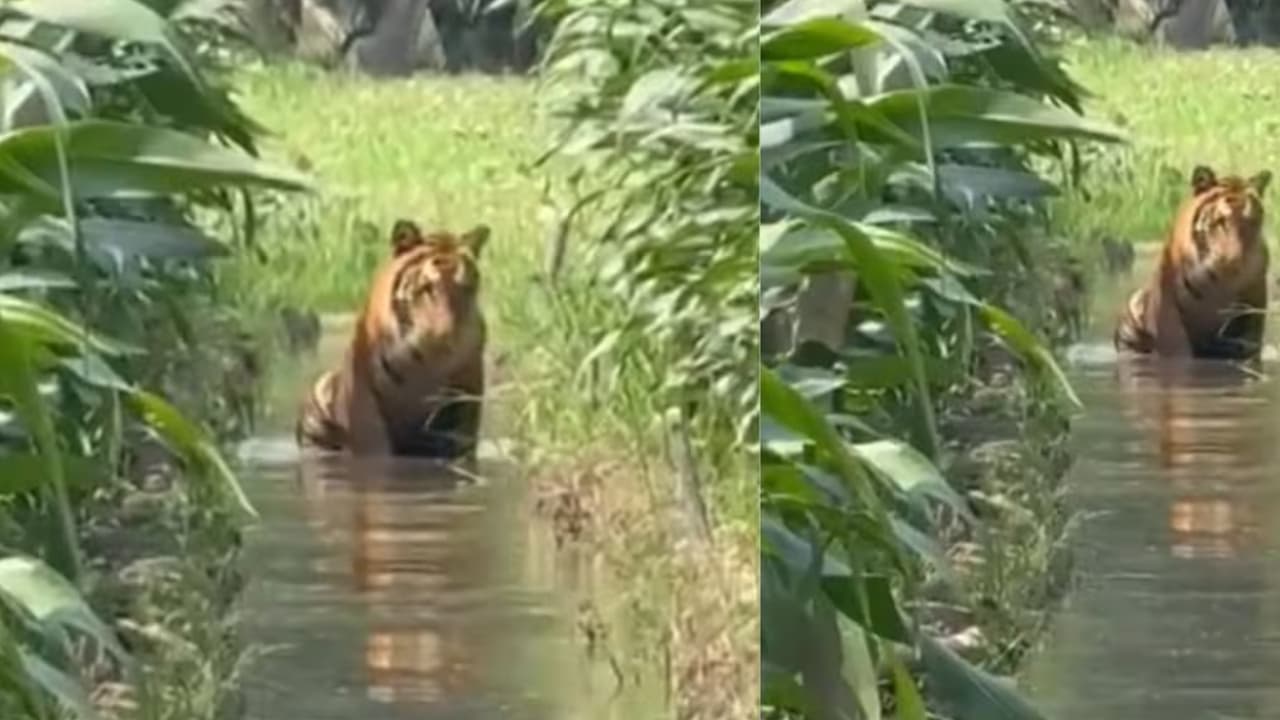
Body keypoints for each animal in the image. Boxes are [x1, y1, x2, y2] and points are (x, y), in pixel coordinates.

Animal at [296, 219, 489, 460]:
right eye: (428, 289)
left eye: (466, 288)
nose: (449, 335)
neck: (428, 362)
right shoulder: (364, 403)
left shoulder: (465, 399)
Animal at [1113, 164, 1272, 361]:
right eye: (1221, 222)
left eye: (1251, 222)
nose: (1235, 260)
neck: (1222, 280)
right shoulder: (1168, 311)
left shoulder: (1253, 305)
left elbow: (1249, 343)